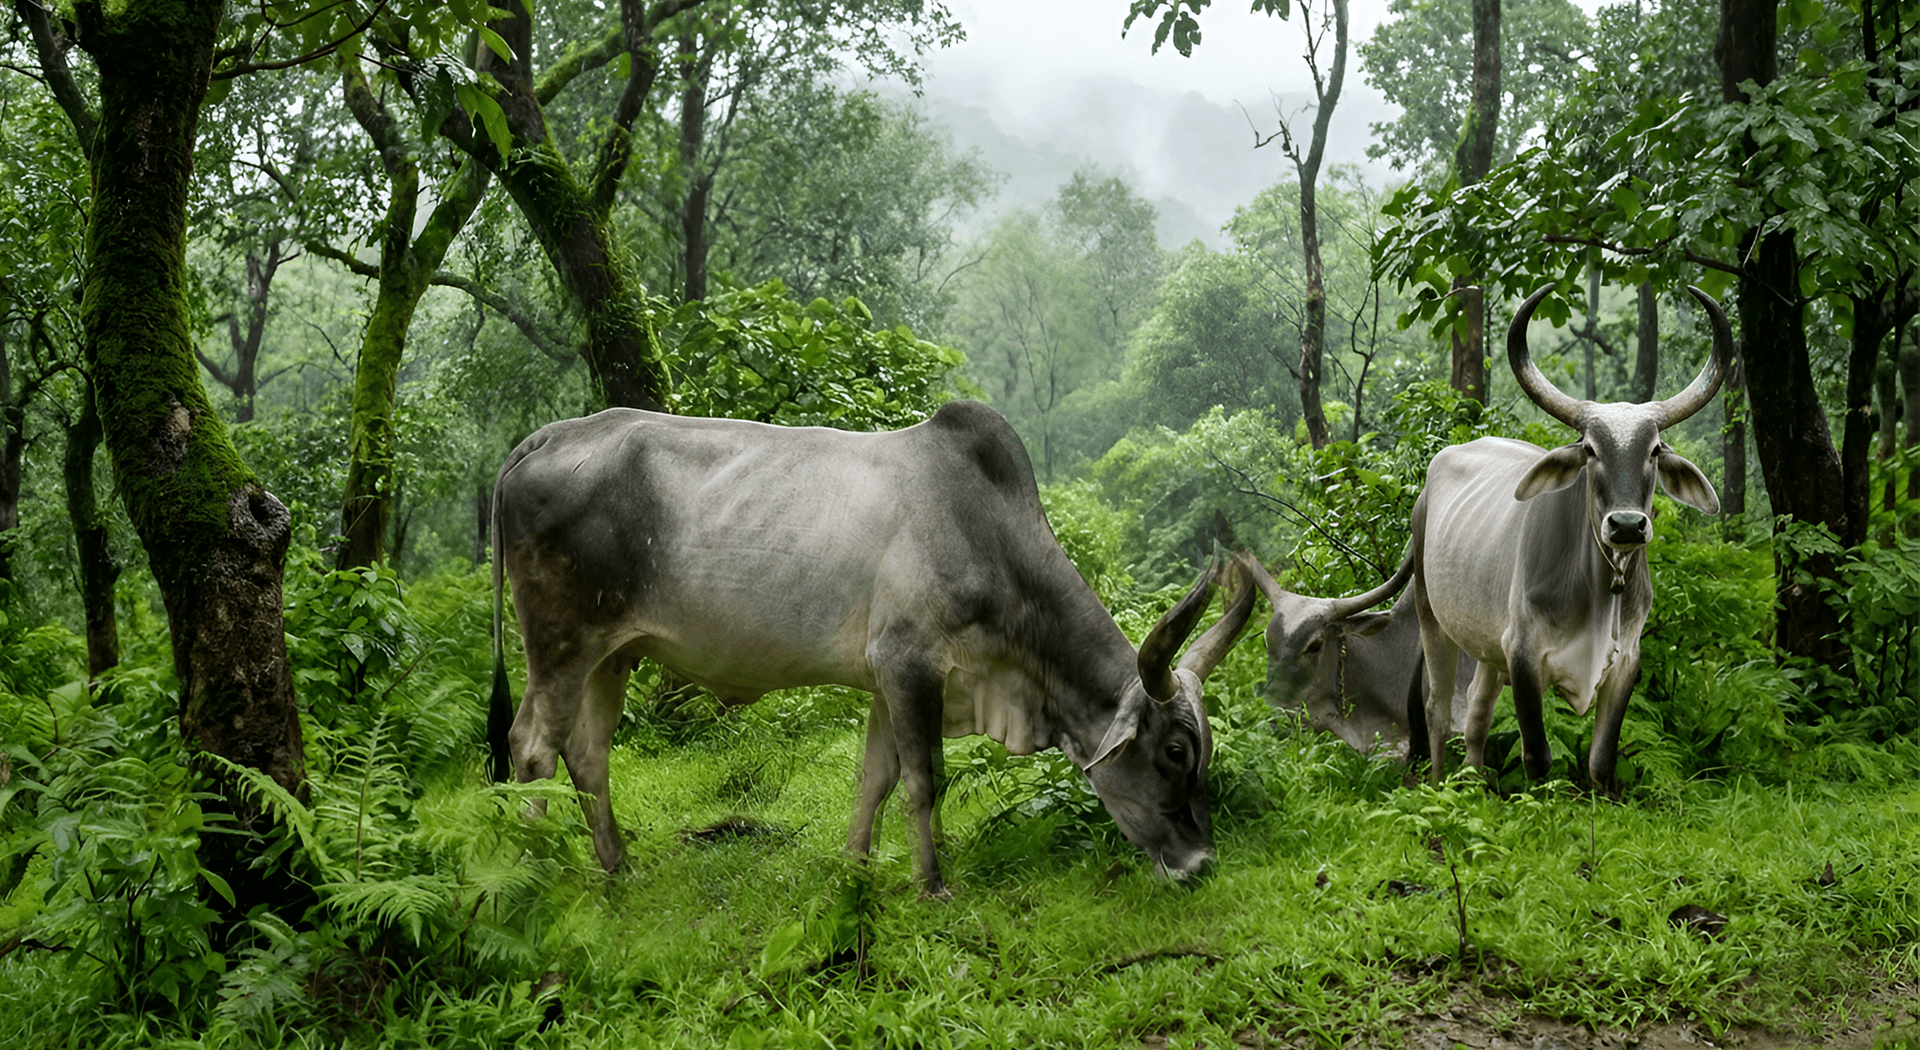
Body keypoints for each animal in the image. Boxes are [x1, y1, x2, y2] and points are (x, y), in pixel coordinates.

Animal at [486, 400, 1258, 896]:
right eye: (1174, 752)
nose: (1201, 863)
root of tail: (546, 438)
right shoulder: (910, 665)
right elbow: (923, 780)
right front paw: (933, 883)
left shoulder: (893, 679)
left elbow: (876, 776)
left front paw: (858, 868)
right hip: (559, 644)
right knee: (533, 747)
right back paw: (531, 875)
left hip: (611, 654)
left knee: (586, 754)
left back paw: (618, 867)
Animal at [1408, 284, 1730, 791]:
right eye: (1590, 450)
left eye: (1654, 450)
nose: (1626, 525)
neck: (1600, 589)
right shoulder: (1522, 653)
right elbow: (1537, 756)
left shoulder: (1625, 664)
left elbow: (1600, 761)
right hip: (1432, 617)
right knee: (1438, 710)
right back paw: (1441, 785)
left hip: (1487, 646)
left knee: (1477, 711)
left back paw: (1475, 786)